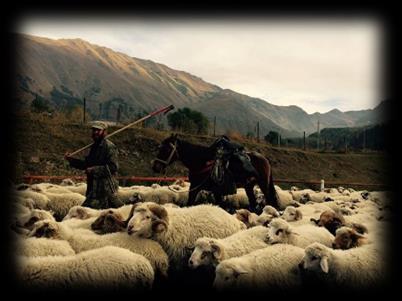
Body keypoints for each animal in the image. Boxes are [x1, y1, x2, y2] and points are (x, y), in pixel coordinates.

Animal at [152, 134, 280, 213]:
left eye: (166, 149)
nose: (155, 167)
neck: (202, 162)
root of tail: (265, 159)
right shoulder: (199, 188)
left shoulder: (212, 190)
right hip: (249, 186)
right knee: (253, 203)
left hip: (263, 184)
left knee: (270, 200)